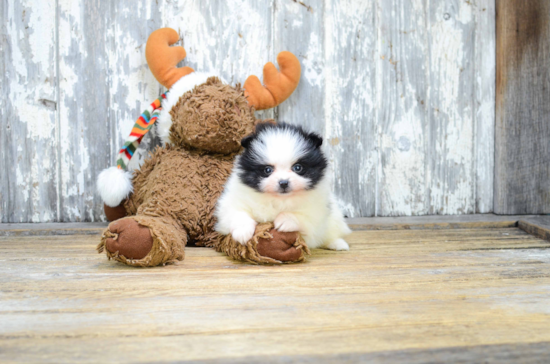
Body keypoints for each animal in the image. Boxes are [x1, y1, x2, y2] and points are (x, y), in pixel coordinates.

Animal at [213, 122, 352, 250]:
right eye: (267, 170)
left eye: (298, 168)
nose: (283, 182)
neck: (279, 199)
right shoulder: (232, 202)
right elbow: (237, 213)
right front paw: (242, 232)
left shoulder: (318, 212)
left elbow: (304, 217)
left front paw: (286, 219)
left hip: (334, 219)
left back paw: (338, 244)